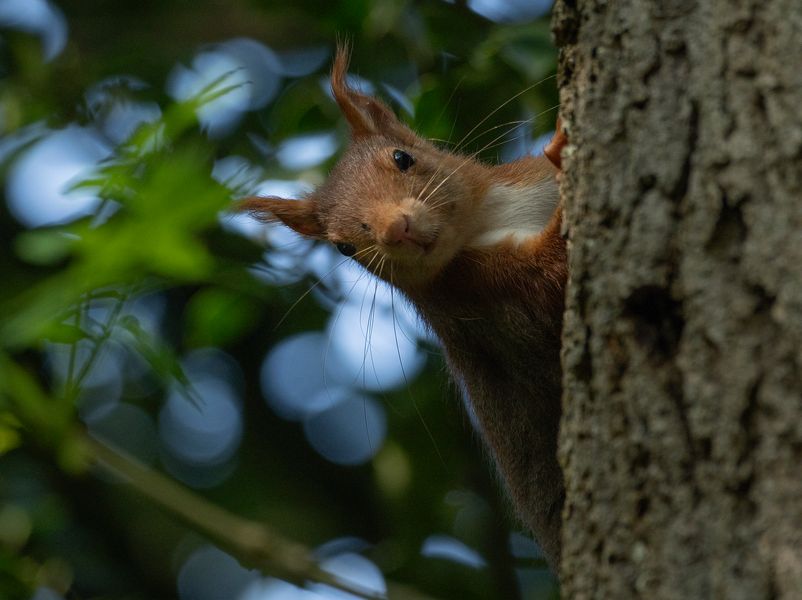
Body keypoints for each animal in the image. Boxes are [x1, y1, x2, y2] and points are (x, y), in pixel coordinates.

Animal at [241, 49, 564, 568]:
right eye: (344, 248)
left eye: (402, 157)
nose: (396, 229)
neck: (488, 218)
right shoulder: (491, 300)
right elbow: (549, 285)